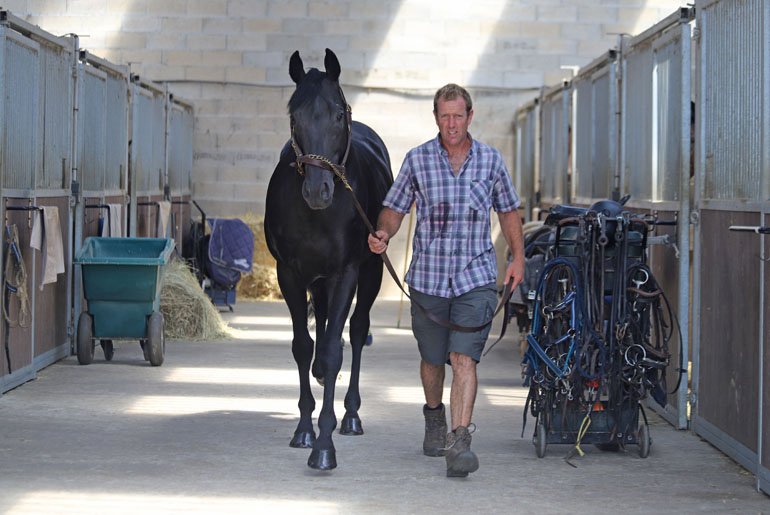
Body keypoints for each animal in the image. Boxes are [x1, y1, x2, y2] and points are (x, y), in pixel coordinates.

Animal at [264, 48, 393, 470]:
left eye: (338, 114)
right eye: (295, 117)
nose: (317, 191)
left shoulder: (346, 272)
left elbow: (338, 349)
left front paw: (324, 446)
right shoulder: (289, 273)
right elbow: (303, 346)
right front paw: (305, 429)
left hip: (370, 272)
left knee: (356, 330)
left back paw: (350, 415)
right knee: (320, 322)